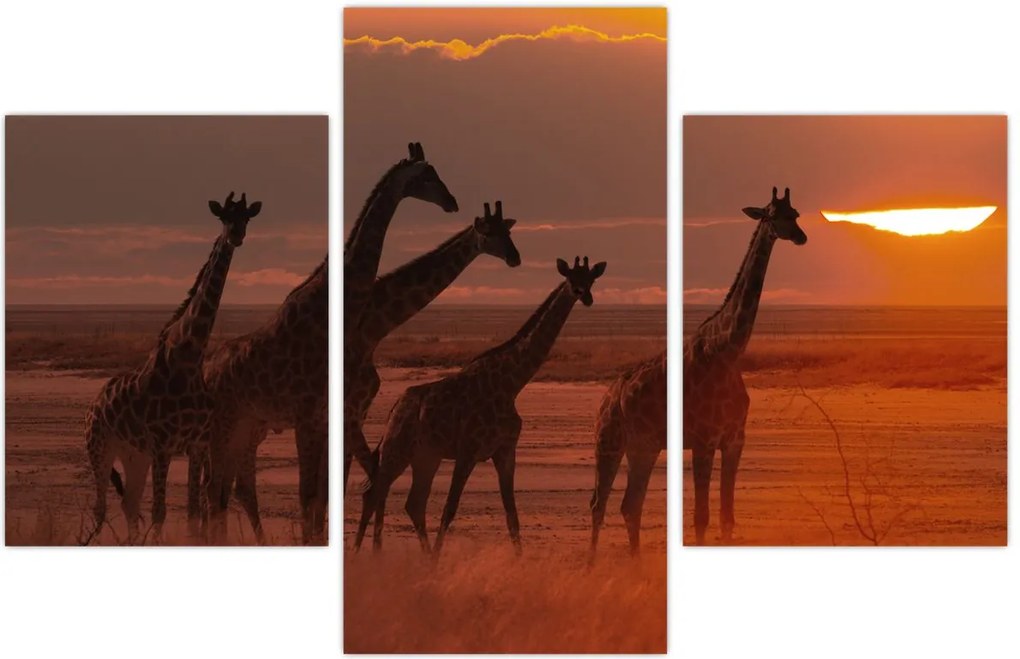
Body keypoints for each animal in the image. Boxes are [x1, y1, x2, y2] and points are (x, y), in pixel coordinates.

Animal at [83, 192, 259, 543]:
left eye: (246, 217)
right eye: (224, 217)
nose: (236, 236)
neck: (189, 357)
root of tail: (94, 405)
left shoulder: (196, 445)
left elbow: (192, 512)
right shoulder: (163, 445)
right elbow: (160, 512)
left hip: (134, 455)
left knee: (128, 504)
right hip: (100, 448)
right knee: (101, 509)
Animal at [354, 256, 607, 558]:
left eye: (591, 279)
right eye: (571, 278)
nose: (585, 296)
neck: (511, 385)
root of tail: (395, 408)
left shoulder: (505, 451)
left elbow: (512, 515)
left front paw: (519, 561)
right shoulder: (468, 451)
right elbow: (449, 510)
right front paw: (438, 561)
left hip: (426, 456)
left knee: (412, 503)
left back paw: (413, 555)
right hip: (398, 449)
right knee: (374, 492)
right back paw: (361, 554)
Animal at [683, 186, 806, 545]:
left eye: (796, 213)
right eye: (772, 215)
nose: (801, 237)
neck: (726, 351)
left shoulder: (735, 438)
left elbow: (727, 518)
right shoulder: (704, 440)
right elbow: (701, 518)